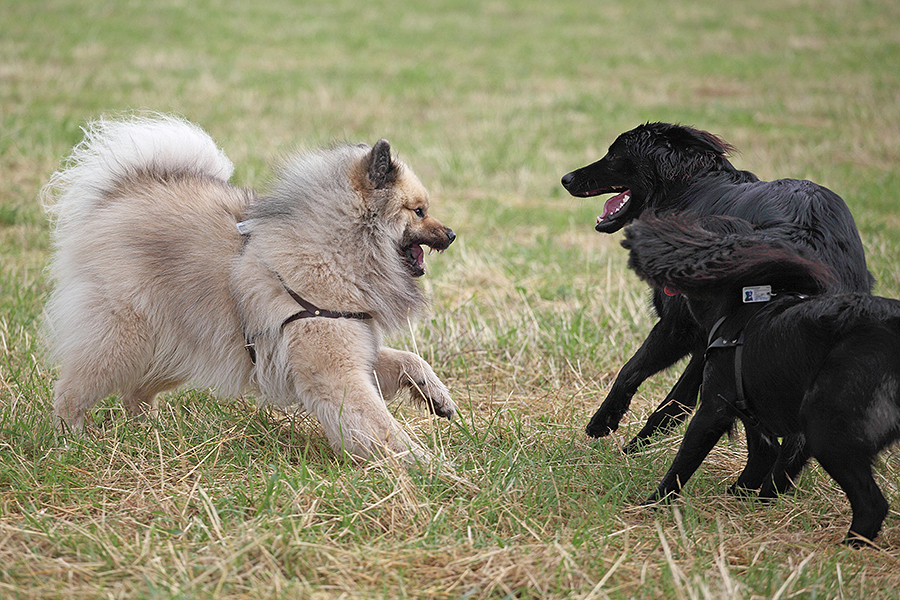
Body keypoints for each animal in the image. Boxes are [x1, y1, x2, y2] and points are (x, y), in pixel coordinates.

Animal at [43, 115, 458, 460]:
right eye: (418, 211)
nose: (452, 234)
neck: (335, 250)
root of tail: (122, 192)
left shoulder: (356, 351)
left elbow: (410, 360)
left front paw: (436, 396)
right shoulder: (334, 369)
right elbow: (381, 425)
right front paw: (426, 465)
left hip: (184, 346)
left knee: (136, 393)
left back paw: (152, 433)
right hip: (125, 341)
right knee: (72, 391)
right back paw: (71, 439)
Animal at [564, 122, 872, 450]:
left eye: (613, 155)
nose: (565, 178)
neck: (687, 188)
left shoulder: (678, 326)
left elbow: (631, 370)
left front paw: (604, 424)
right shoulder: (706, 339)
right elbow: (677, 402)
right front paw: (635, 448)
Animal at [624, 213, 900, 548]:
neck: (738, 308)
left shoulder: (713, 410)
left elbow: (681, 465)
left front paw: (652, 504)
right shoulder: (753, 417)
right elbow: (762, 463)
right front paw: (743, 499)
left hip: (827, 429)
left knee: (872, 504)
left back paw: (848, 549)